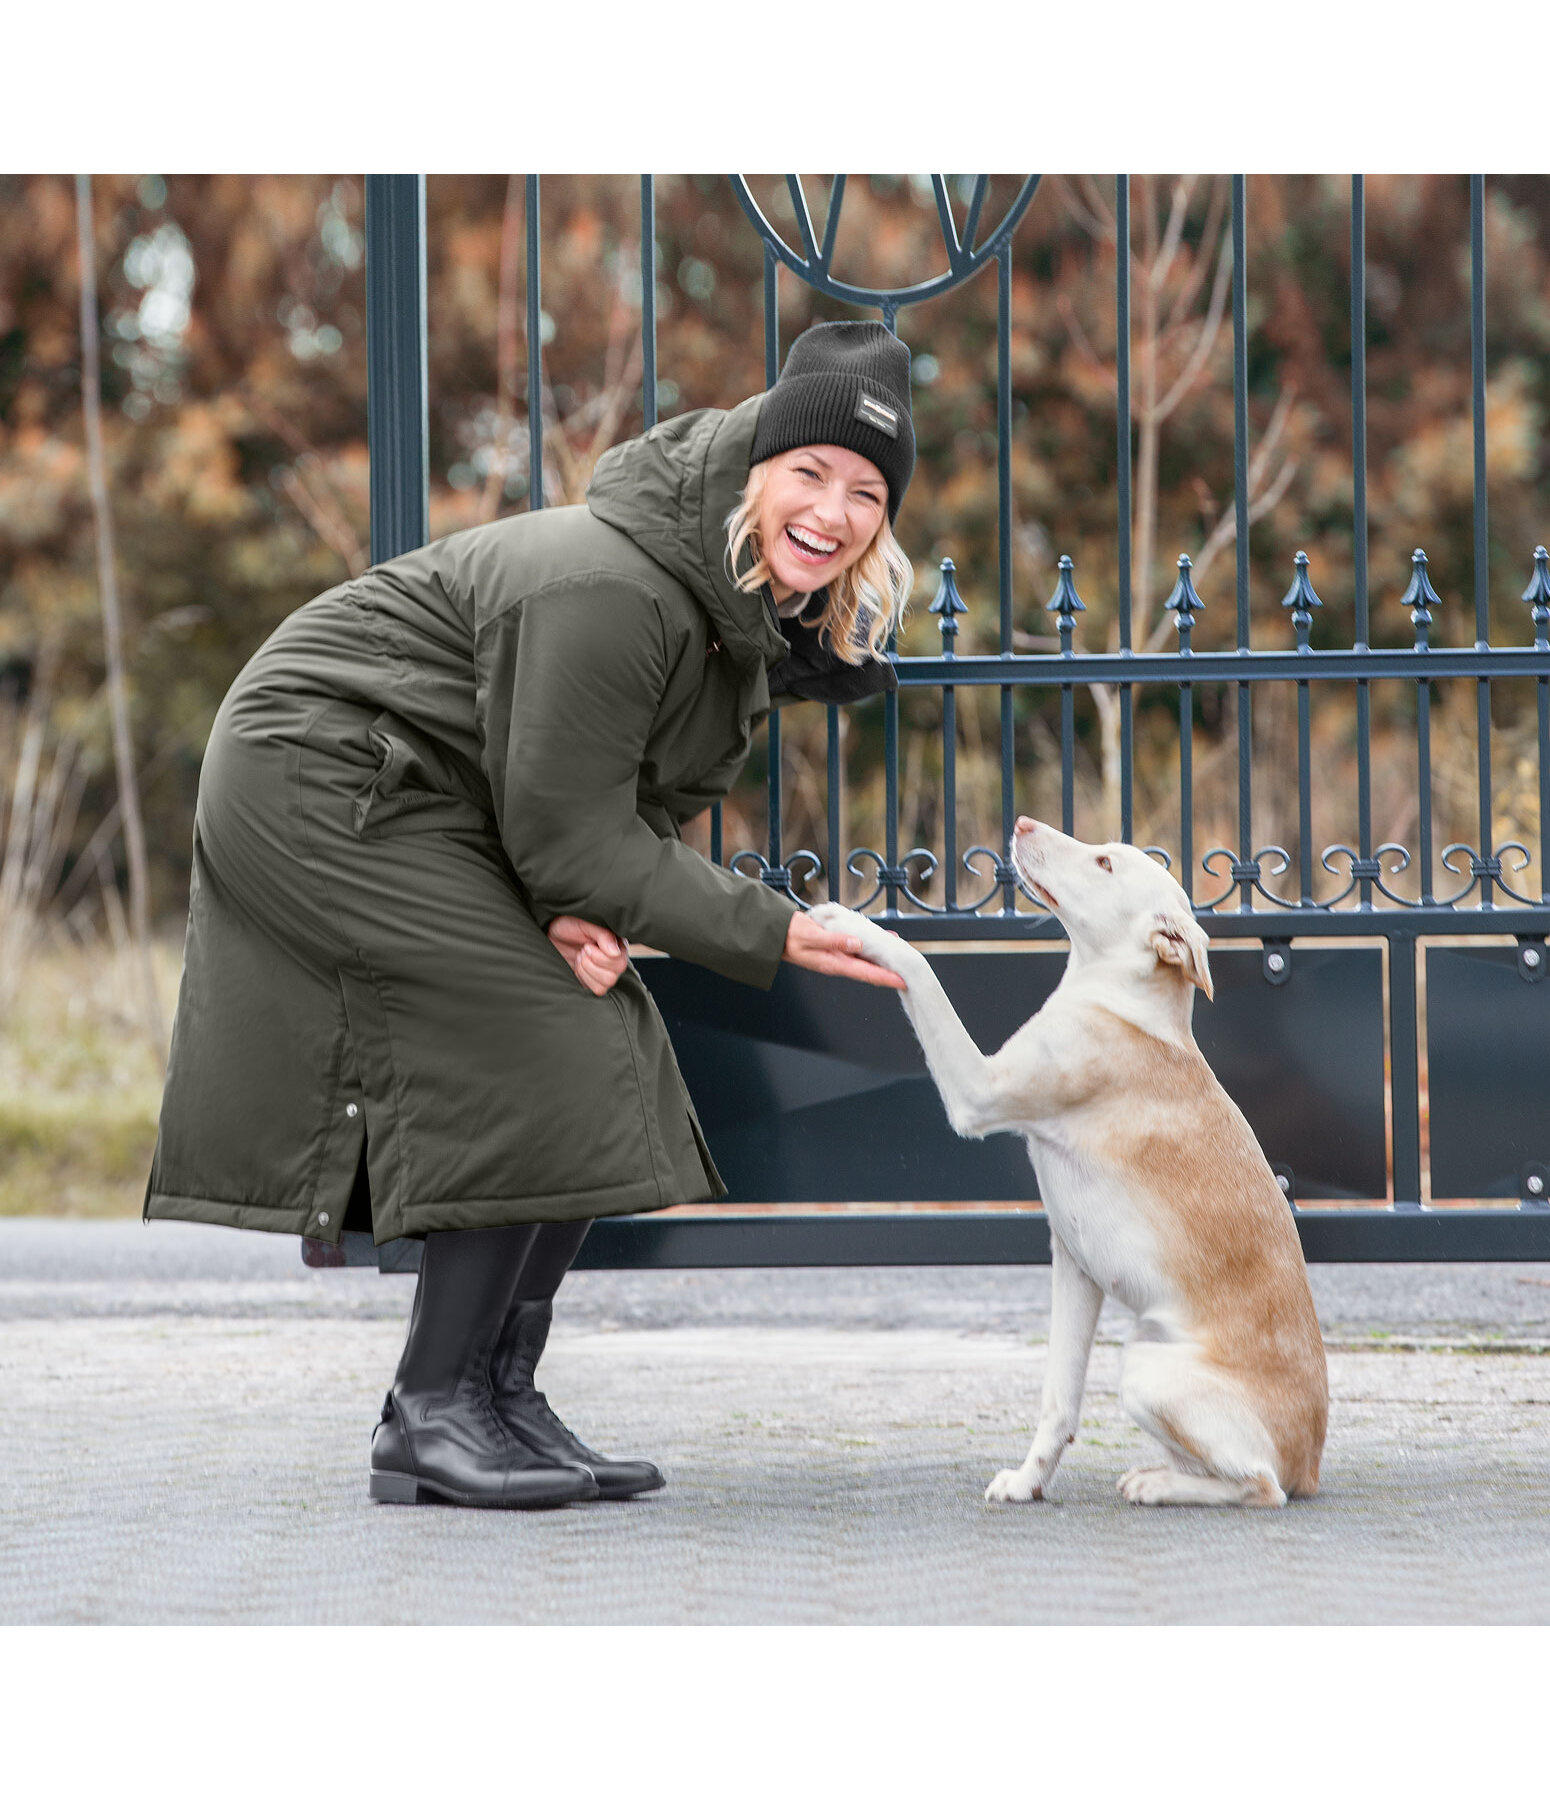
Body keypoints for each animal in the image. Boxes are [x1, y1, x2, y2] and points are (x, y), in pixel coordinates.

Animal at [802, 817, 1324, 1504]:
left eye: (1103, 863)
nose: (1023, 823)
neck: (1123, 1001)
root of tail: (1310, 1463)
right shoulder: (1074, 1266)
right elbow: (1059, 1400)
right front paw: (1028, 1483)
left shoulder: (979, 1091)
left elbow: (919, 965)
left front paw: (851, 924)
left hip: (1146, 1369)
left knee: (1260, 1486)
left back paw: (1160, 1486)